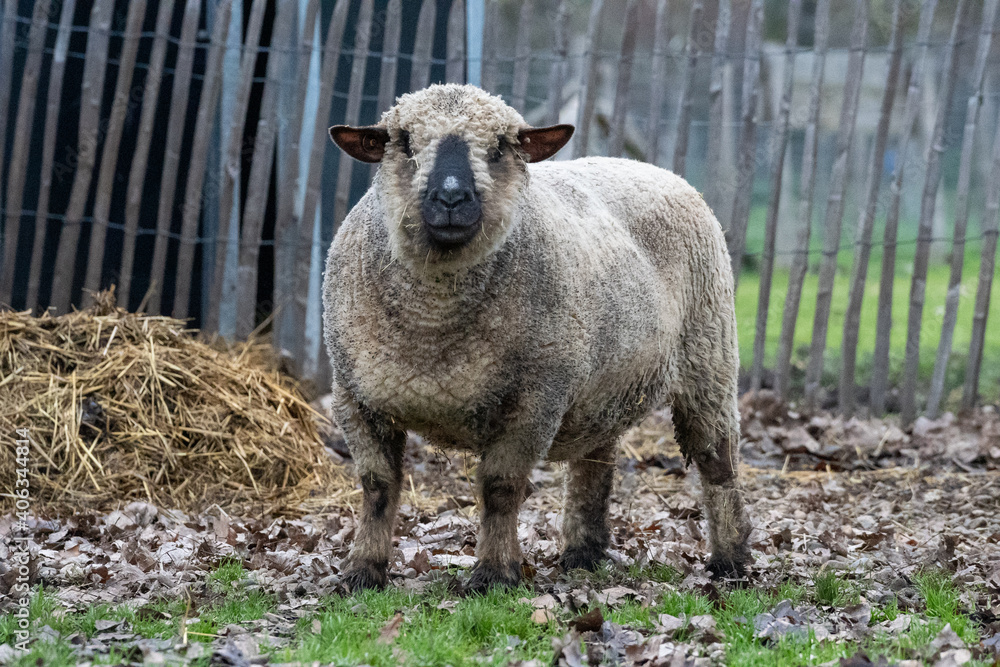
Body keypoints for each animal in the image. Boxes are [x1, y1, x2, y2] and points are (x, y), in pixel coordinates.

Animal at [323, 84, 751, 592]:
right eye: (403, 141)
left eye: (501, 147)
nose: (451, 197)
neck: (432, 328)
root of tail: (654, 168)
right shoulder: (356, 396)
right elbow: (377, 485)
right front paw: (362, 571)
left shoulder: (535, 399)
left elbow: (500, 488)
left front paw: (493, 575)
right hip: (600, 386)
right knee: (593, 464)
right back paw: (583, 553)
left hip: (709, 355)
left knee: (717, 460)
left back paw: (731, 561)